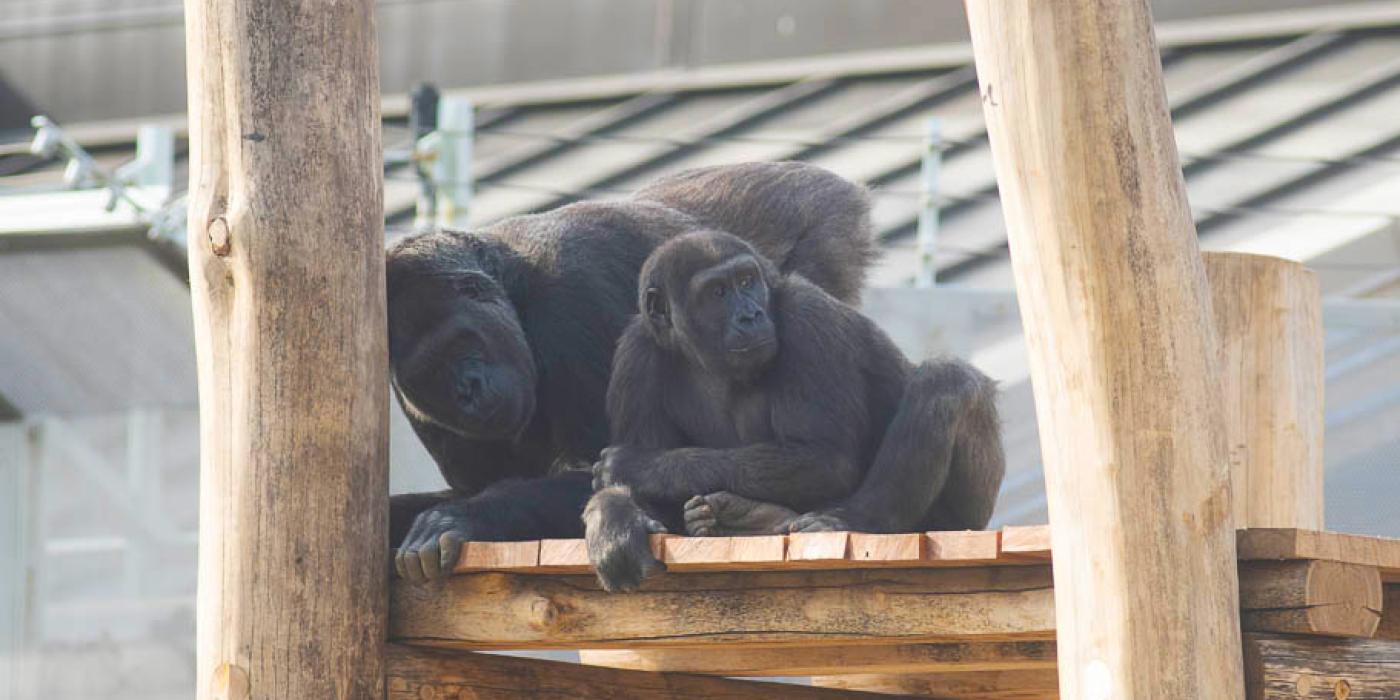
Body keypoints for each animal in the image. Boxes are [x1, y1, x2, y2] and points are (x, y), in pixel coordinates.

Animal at [392, 162, 873, 579]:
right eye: (432, 369)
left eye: (462, 344)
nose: (467, 391)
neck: (514, 286)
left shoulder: (574, 297)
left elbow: (601, 470)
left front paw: (461, 516)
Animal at [588, 229, 1008, 590]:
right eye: (717, 292)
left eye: (746, 281)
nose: (750, 315)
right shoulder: (635, 355)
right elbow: (655, 508)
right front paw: (615, 517)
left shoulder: (807, 315)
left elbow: (824, 458)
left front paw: (639, 467)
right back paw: (752, 520)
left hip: (962, 522)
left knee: (947, 381)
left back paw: (854, 520)